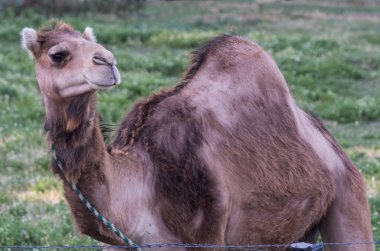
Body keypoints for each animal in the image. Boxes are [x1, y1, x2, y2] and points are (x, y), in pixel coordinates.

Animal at [21, 22, 374, 251]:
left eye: (89, 42)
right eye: (57, 54)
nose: (106, 61)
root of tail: (334, 148)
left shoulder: (210, 229)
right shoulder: (119, 244)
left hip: (348, 200)